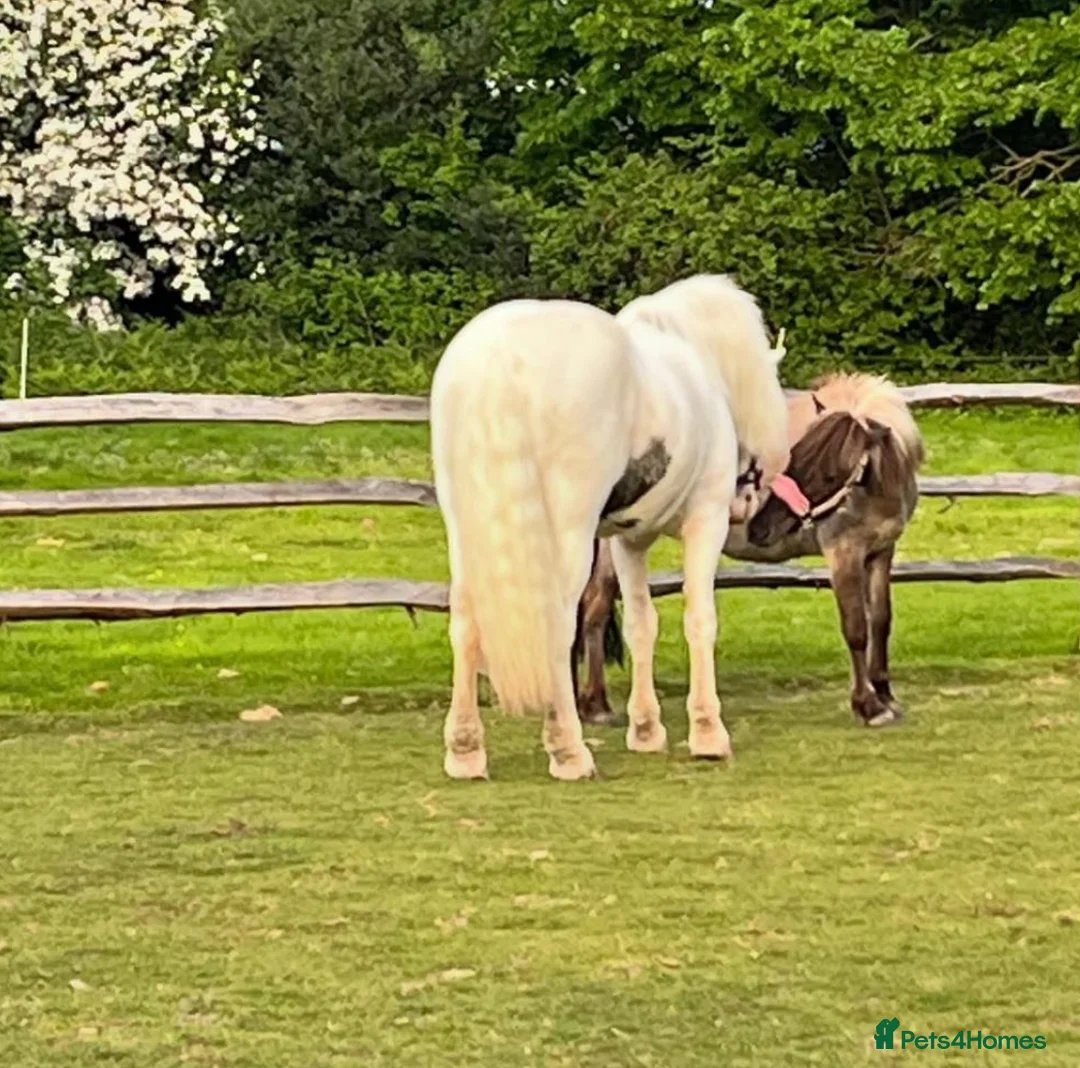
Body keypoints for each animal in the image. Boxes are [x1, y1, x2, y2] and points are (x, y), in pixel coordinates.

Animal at [430, 275, 791, 780]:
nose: (747, 503)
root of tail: (503, 357)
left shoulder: (628, 539)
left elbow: (642, 623)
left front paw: (646, 730)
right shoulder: (706, 520)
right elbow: (699, 620)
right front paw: (707, 734)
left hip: (466, 532)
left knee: (465, 621)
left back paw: (465, 751)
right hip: (568, 534)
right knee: (558, 625)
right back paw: (568, 750)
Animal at [573, 372, 924, 729]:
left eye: (830, 475)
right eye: (795, 457)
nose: (761, 527)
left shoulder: (880, 552)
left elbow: (880, 620)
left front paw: (886, 695)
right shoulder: (844, 553)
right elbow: (856, 628)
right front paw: (869, 706)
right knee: (594, 610)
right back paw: (595, 705)